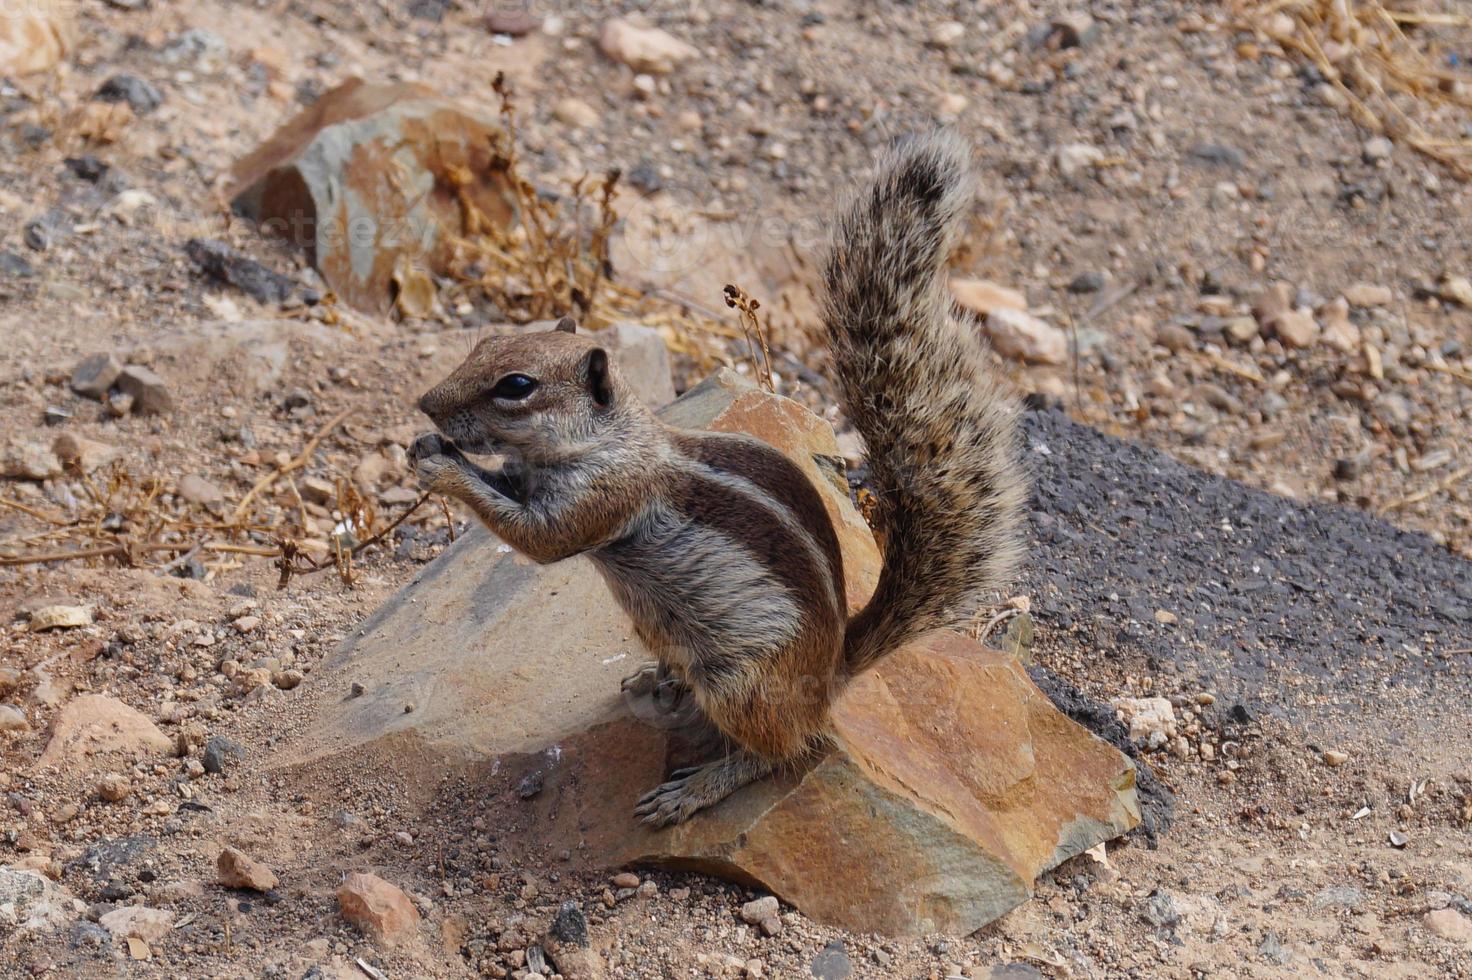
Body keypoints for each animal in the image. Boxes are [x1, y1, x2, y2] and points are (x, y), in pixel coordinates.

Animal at [412, 128, 1024, 818]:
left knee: (786, 751)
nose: (426, 403)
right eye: (486, 345)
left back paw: (697, 787)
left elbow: (540, 540)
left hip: (740, 685)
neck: (612, 440)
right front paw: (429, 446)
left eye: (516, 386)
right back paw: (656, 680)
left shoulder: (603, 497)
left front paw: (442, 467)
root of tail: (834, 672)